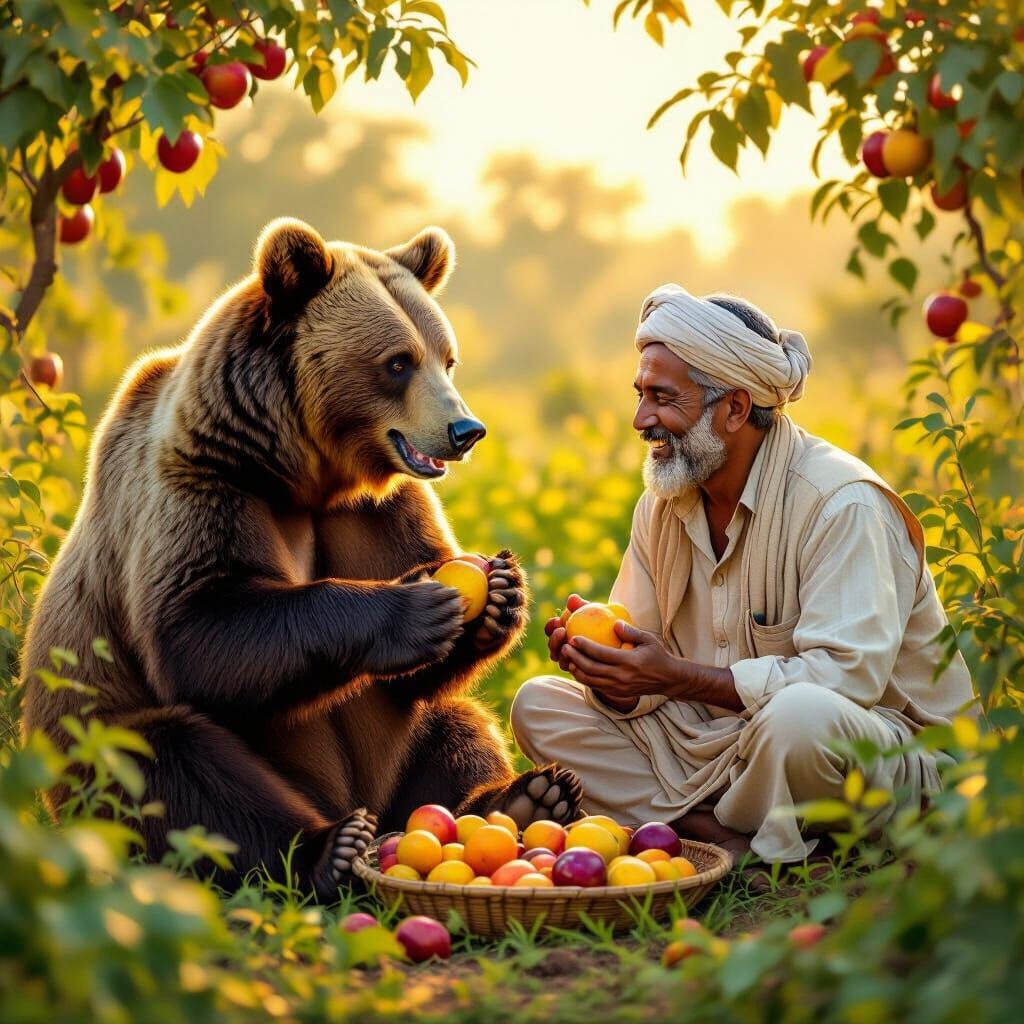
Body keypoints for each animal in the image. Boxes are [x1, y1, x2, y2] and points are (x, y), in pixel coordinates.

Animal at [19, 217, 583, 897]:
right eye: (398, 362)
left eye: (447, 357)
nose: (465, 431)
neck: (301, 472)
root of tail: (370, 806)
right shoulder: (204, 481)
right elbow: (199, 621)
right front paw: (414, 608)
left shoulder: (377, 510)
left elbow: (418, 669)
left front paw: (500, 593)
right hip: (89, 741)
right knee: (171, 771)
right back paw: (326, 848)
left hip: (400, 766)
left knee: (455, 722)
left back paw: (526, 796)